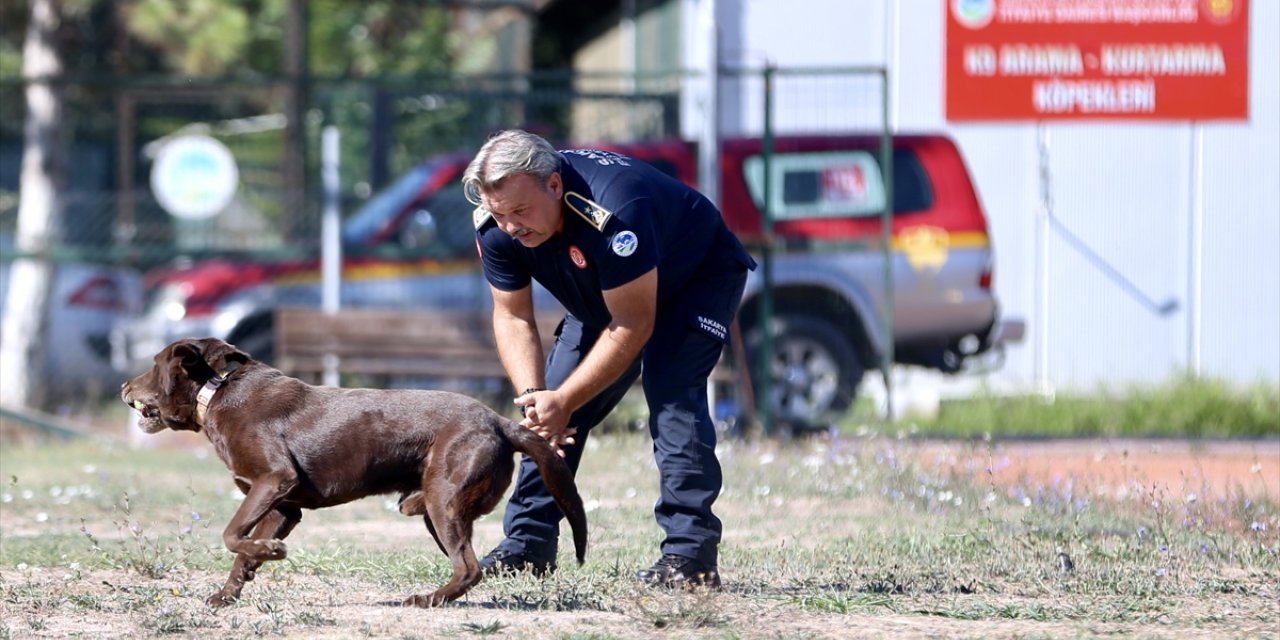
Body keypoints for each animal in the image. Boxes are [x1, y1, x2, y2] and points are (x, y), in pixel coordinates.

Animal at [122, 337, 583, 606]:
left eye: (153, 365)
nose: (124, 386)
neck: (214, 390)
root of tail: (500, 422)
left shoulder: (274, 479)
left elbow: (232, 534)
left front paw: (272, 551)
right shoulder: (283, 506)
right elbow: (241, 552)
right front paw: (229, 592)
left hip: (444, 501)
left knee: (469, 567)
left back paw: (425, 600)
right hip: (438, 509)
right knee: (468, 565)